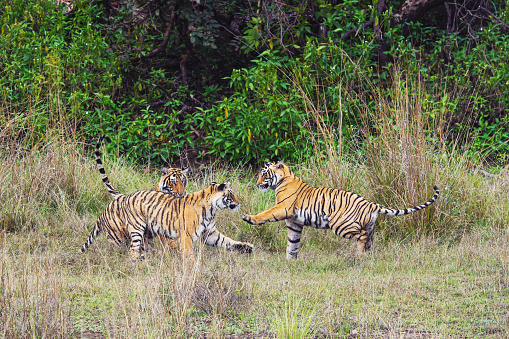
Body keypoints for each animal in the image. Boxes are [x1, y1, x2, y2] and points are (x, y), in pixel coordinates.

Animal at [81, 183, 254, 260]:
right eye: (230, 194)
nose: (239, 203)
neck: (212, 210)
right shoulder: (186, 236)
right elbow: (189, 254)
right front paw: (192, 267)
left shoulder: (210, 233)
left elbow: (227, 241)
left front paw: (245, 247)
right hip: (134, 229)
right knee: (130, 251)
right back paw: (138, 260)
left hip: (145, 233)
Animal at [241, 162, 436, 258]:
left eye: (264, 174)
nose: (256, 184)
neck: (284, 178)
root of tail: (371, 203)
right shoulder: (294, 221)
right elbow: (293, 242)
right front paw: (290, 261)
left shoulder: (283, 208)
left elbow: (266, 214)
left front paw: (249, 218)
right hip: (370, 227)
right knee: (369, 241)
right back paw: (366, 258)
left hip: (341, 225)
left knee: (361, 237)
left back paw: (357, 257)